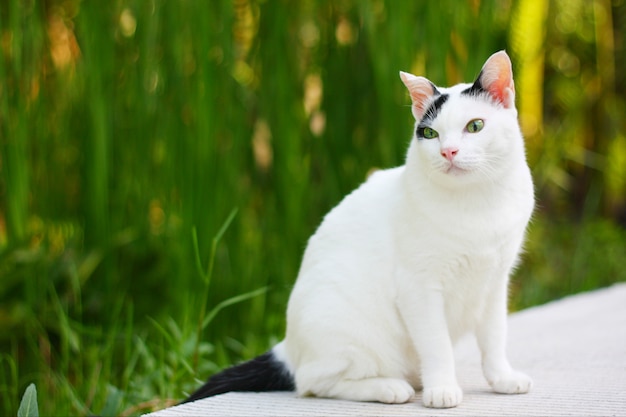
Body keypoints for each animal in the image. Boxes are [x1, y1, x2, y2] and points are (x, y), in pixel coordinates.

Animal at [184, 50, 532, 408]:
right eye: (431, 134)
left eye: (475, 126)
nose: (448, 151)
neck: (477, 205)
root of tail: (289, 347)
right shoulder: (419, 288)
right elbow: (437, 346)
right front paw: (442, 388)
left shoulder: (494, 283)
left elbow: (494, 338)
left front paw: (502, 378)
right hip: (348, 333)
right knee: (314, 382)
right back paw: (391, 387)